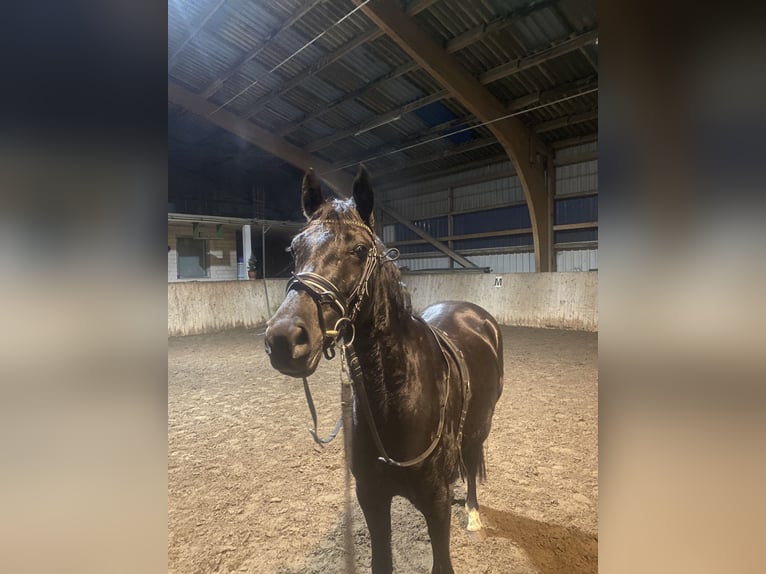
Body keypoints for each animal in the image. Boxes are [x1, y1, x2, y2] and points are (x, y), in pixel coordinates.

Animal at [264, 168, 504, 574]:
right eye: (294, 249)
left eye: (360, 250)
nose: (284, 338)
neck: (398, 399)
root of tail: (475, 313)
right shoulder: (371, 498)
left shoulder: (436, 503)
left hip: (479, 427)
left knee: (472, 463)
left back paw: (472, 515)